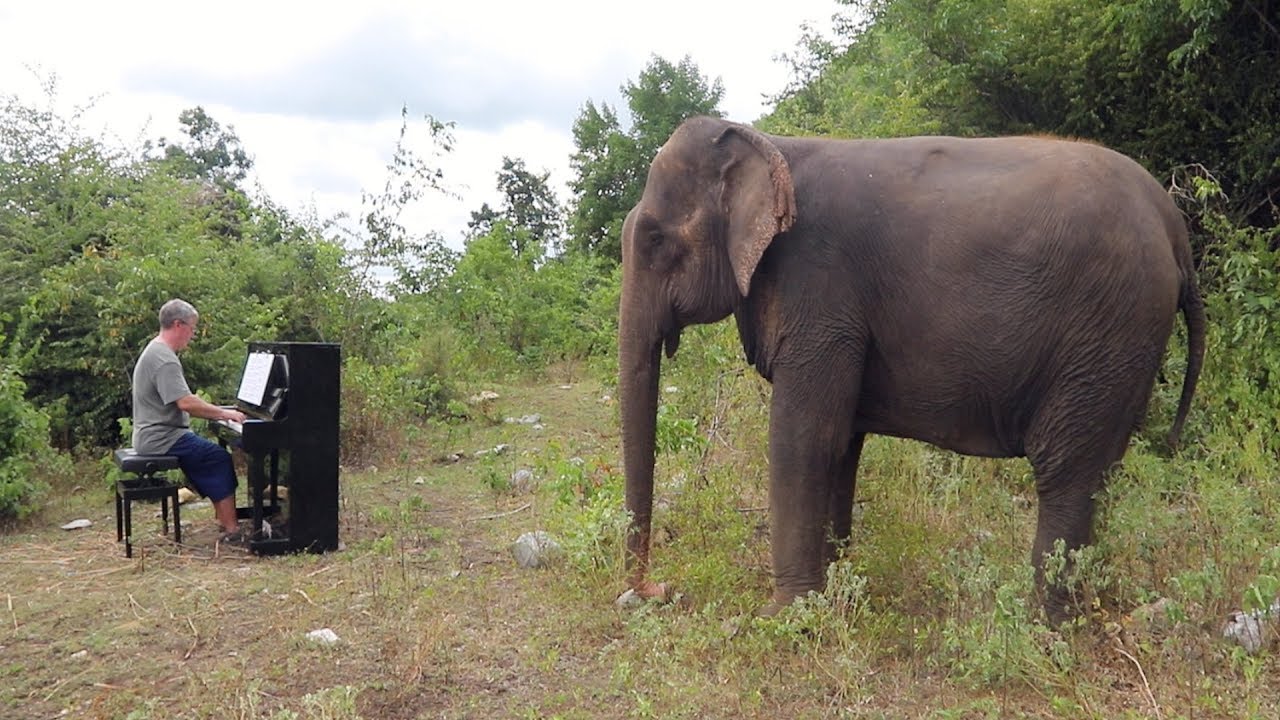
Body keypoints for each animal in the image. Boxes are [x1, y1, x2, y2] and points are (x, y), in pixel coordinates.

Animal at [618, 116, 1205, 622]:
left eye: (655, 240)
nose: (655, 590)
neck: (769, 142)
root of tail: (1175, 229)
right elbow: (841, 444)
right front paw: (835, 595)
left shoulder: (820, 289)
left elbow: (805, 438)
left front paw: (781, 617)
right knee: (1095, 475)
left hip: (1107, 329)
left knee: (1067, 473)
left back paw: (1043, 625)